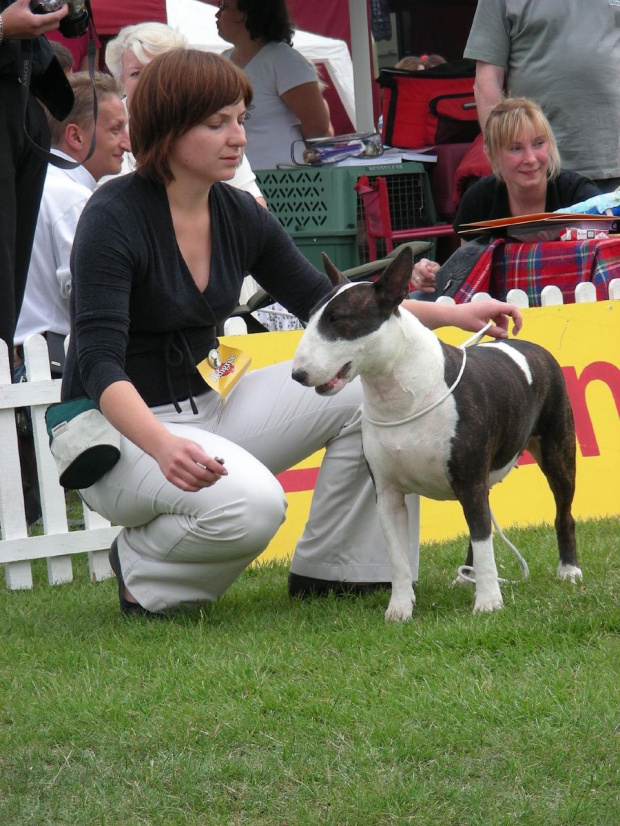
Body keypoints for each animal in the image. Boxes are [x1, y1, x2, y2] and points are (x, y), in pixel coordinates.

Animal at [290, 248, 580, 620]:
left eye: (338, 319)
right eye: (308, 319)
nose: (297, 375)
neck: (399, 395)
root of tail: (533, 348)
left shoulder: (469, 481)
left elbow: (484, 540)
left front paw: (489, 603)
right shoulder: (388, 493)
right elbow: (398, 557)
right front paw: (399, 609)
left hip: (557, 449)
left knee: (561, 512)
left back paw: (568, 570)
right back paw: (467, 578)